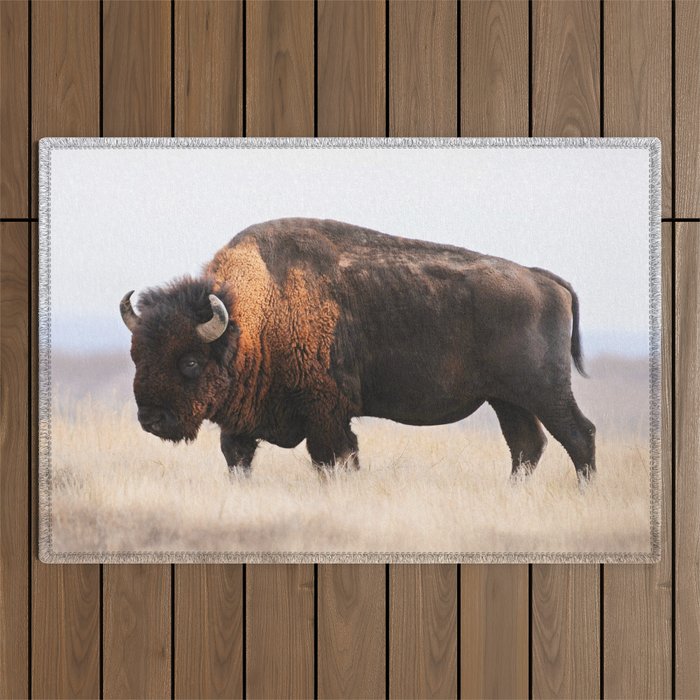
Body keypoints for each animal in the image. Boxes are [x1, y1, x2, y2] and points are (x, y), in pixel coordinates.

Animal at [121, 218, 595, 483]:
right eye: (137, 356)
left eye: (190, 361)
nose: (151, 419)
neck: (254, 313)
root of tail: (542, 279)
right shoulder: (241, 424)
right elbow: (238, 459)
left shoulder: (327, 413)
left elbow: (335, 458)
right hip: (506, 399)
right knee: (526, 446)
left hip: (544, 391)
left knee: (578, 434)